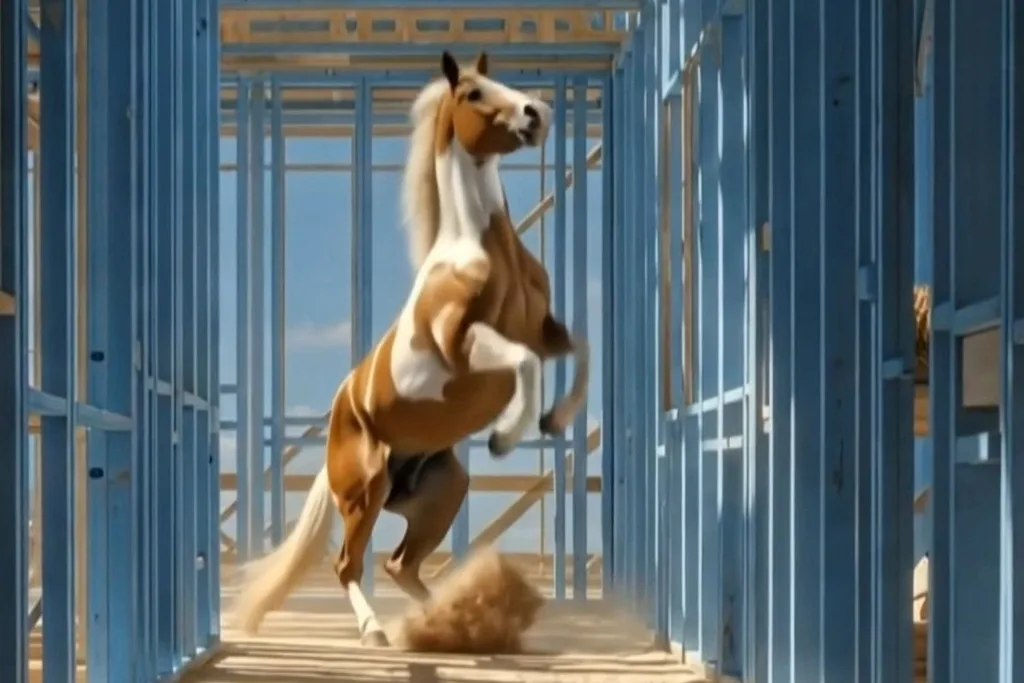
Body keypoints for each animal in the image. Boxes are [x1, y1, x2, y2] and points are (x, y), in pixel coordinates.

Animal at [231, 51, 590, 647]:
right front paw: (505, 435)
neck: (477, 253)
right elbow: (525, 364)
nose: (535, 114)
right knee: (350, 565)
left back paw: (442, 618)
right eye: (472, 92)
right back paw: (378, 631)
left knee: (401, 565)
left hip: (442, 491)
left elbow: (580, 349)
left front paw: (554, 420)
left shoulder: (544, 330)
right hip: (365, 492)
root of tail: (338, 418)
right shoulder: (464, 347)